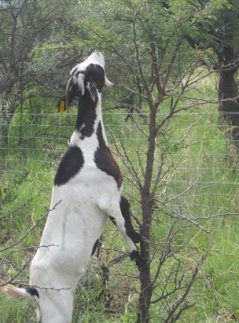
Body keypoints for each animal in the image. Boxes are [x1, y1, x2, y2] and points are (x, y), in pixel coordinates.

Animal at [0, 51, 144, 323]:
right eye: (93, 68)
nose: (98, 51)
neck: (87, 144)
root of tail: (33, 290)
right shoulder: (107, 200)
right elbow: (126, 232)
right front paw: (141, 258)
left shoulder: (117, 194)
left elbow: (128, 207)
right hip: (59, 312)